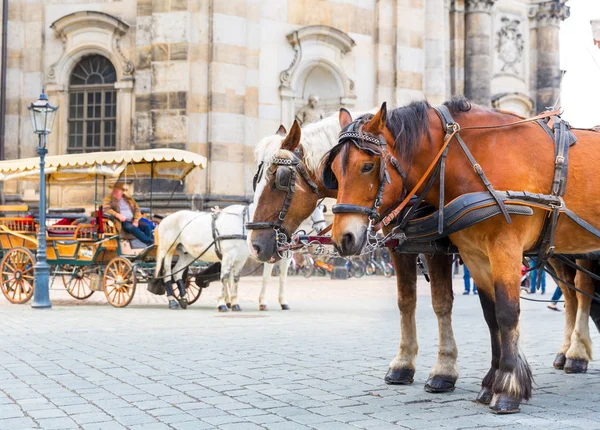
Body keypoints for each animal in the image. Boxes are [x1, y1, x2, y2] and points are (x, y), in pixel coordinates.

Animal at [248, 116, 460, 394]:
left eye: (280, 178)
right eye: (257, 179)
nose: (255, 245)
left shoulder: (435, 247)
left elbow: (442, 303)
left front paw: (444, 369)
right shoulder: (399, 247)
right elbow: (406, 301)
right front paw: (403, 364)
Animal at [328, 100, 600, 414]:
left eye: (367, 166)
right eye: (333, 170)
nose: (343, 238)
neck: (471, 158)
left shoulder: (505, 249)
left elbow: (506, 313)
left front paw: (508, 387)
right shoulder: (474, 256)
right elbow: (490, 316)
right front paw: (490, 382)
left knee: (582, 292)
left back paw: (576, 354)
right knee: (571, 296)